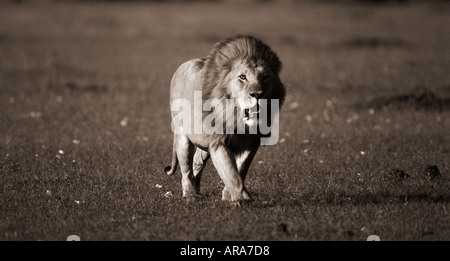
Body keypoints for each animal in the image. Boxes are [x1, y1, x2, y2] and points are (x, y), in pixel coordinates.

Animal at [164, 34, 284, 201]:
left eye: (265, 77)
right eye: (242, 77)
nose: (257, 95)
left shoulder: (252, 142)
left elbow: (240, 169)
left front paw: (228, 195)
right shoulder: (218, 141)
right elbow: (230, 171)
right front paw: (242, 199)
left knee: (197, 161)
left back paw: (197, 189)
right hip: (183, 136)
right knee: (186, 169)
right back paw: (190, 195)